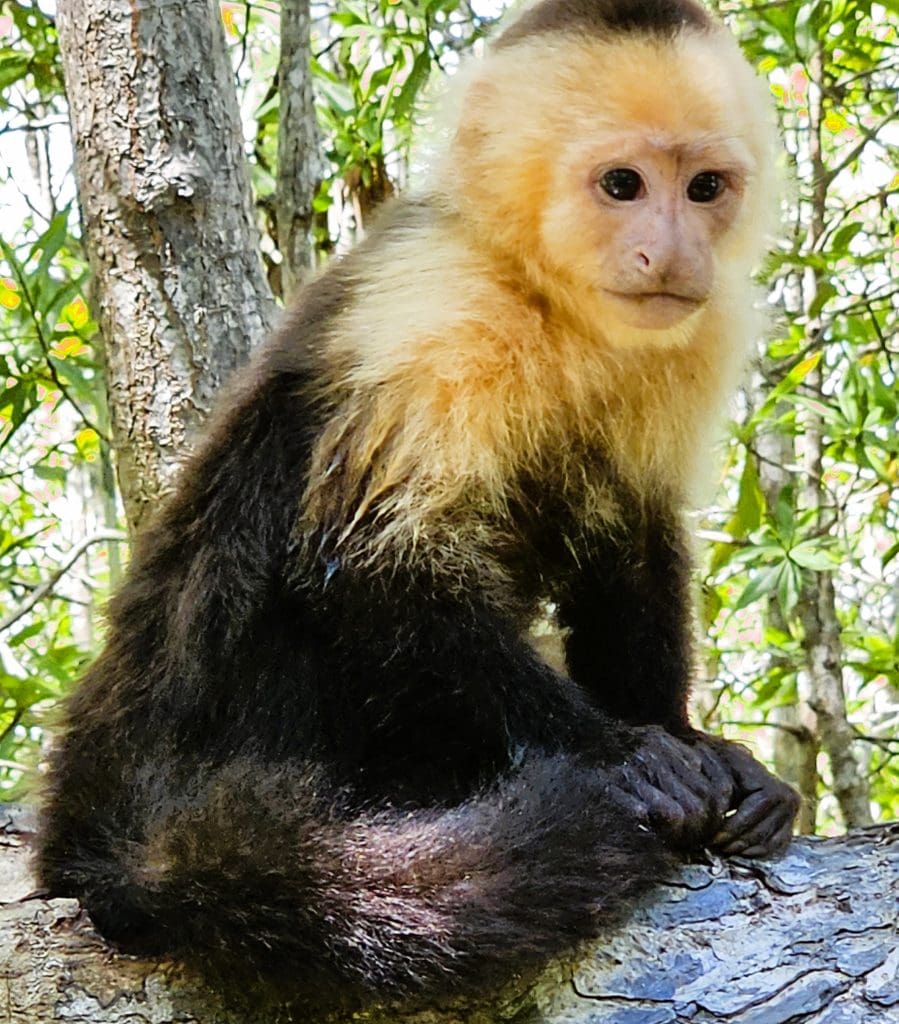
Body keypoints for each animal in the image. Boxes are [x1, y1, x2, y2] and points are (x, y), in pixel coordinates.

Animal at [37, 0, 800, 1013]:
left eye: (705, 187)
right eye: (623, 184)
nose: (672, 252)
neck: (544, 297)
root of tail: (85, 828)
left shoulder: (695, 332)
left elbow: (629, 540)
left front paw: (686, 737)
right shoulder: (433, 310)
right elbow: (367, 565)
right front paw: (618, 753)